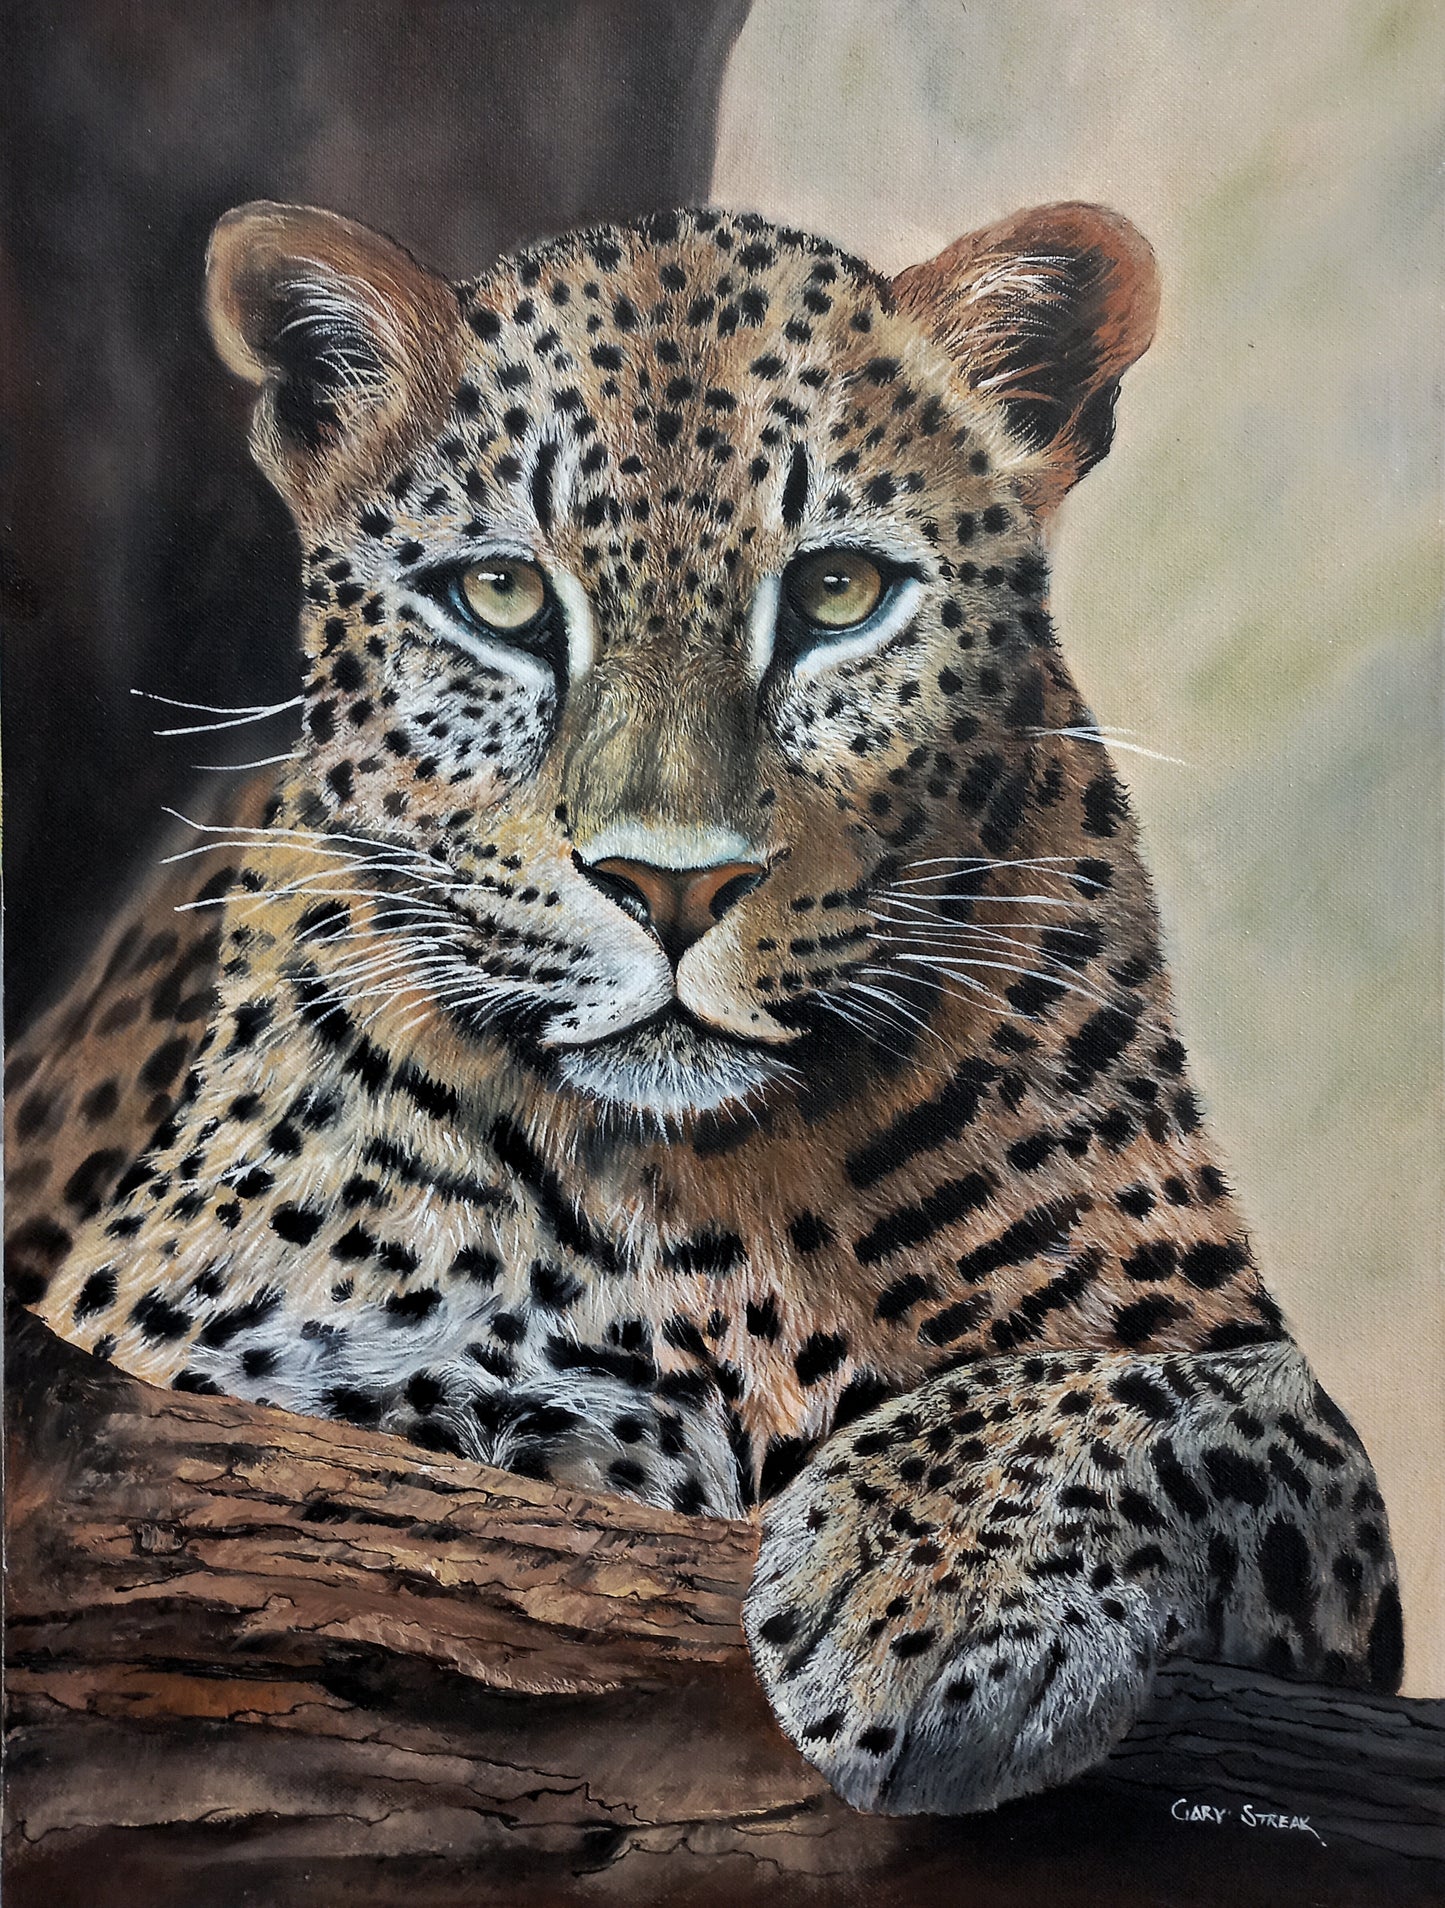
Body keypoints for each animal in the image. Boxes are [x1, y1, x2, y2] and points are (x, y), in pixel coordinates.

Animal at [5, 196, 1403, 1816]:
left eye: (839, 593)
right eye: (498, 596)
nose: (669, 888)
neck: (710, 1196)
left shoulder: (1264, 1415)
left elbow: (1188, 1399)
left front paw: (930, 1607)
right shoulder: (165, 1364)